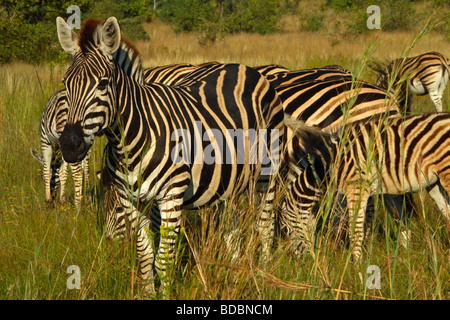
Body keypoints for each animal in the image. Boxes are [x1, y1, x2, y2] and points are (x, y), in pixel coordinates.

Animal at [56, 16, 284, 296]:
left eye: (103, 83)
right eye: (65, 84)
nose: (69, 145)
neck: (132, 141)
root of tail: (246, 68)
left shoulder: (171, 196)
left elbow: (164, 259)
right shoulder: (133, 199)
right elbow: (145, 256)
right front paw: (147, 295)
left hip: (268, 172)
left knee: (265, 224)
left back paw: (264, 276)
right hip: (227, 180)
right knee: (231, 225)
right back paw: (231, 273)